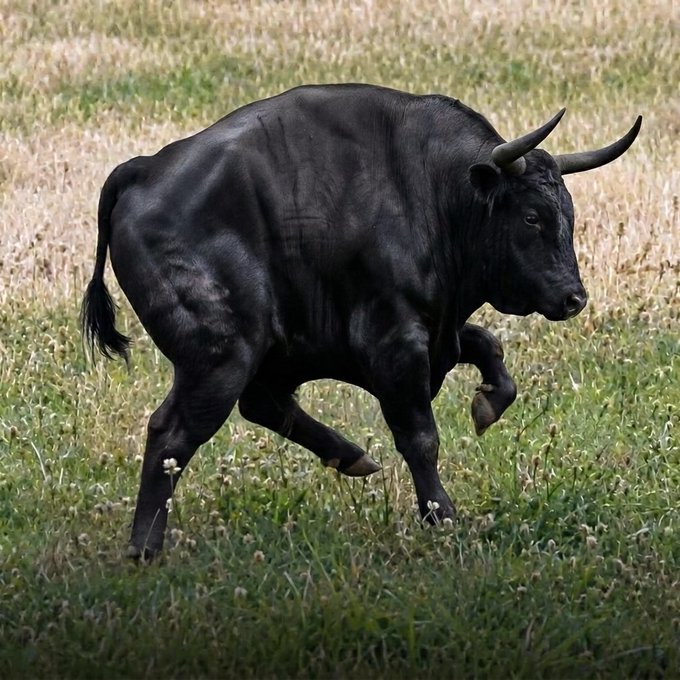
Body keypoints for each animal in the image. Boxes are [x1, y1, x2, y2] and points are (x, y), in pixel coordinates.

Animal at [81, 84, 641, 559]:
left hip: (263, 355)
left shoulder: (437, 329)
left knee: (261, 404)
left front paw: (487, 405)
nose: (573, 298)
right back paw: (145, 546)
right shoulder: (395, 346)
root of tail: (143, 171)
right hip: (221, 357)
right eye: (530, 216)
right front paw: (441, 515)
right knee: (173, 433)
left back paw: (348, 455)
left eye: (567, 213)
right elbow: (420, 436)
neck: (434, 191)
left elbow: (488, 348)